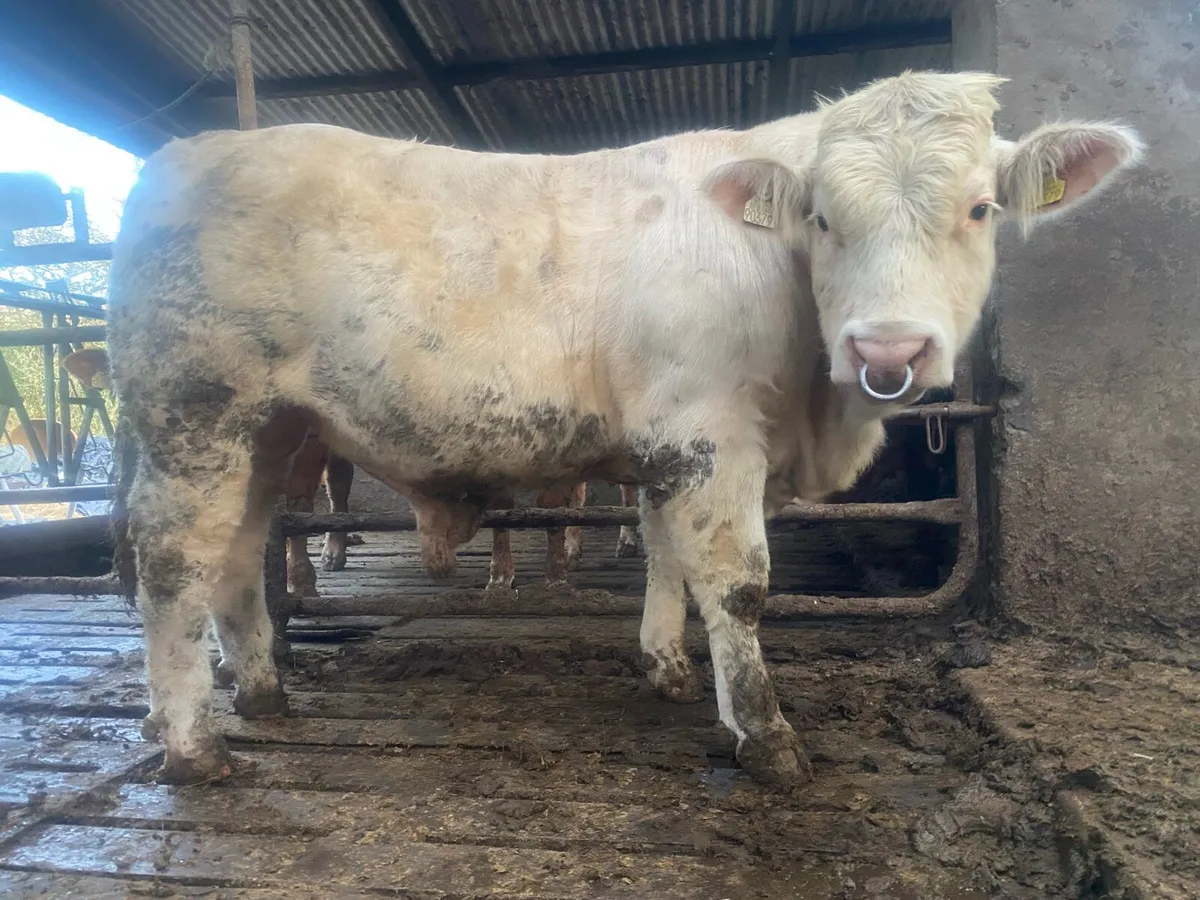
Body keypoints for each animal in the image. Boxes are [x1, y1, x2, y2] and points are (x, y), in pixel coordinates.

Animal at [106, 71, 1142, 787]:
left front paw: (668, 668)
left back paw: (264, 692)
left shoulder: (674, 446)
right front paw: (765, 737)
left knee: (240, 553)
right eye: (820, 216)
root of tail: (181, 156)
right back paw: (193, 744)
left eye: (979, 208)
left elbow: (665, 555)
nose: (888, 346)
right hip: (194, 415)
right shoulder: (708, 432)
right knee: (173, 561)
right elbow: (737, 582)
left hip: (271, 432)